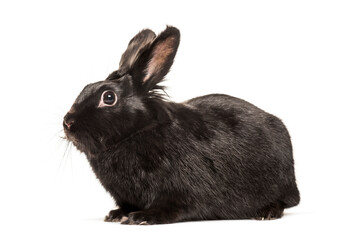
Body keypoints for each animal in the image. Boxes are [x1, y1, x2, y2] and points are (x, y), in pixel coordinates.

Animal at [63, 26, 300, 225]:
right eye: (86, 87)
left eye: (109, 97)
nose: (68, 122)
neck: (138, 132)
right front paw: (116, 215)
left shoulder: (185, 192)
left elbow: (174, 208)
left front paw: (142, 217)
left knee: (284, 201)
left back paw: (266, 212)